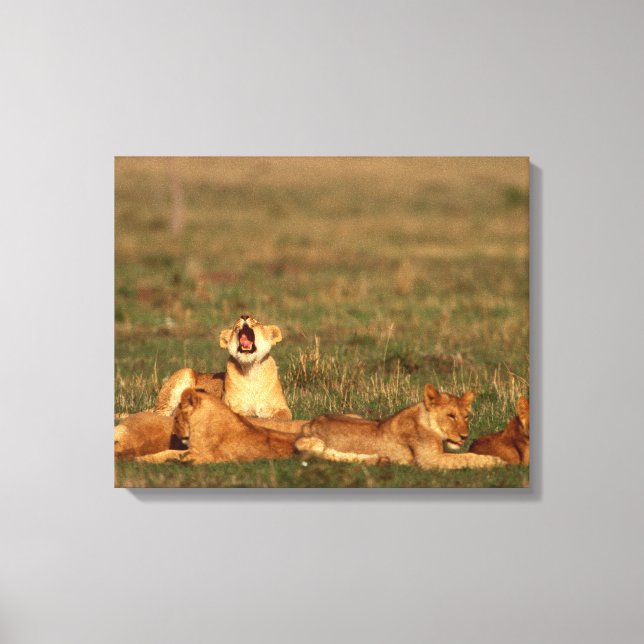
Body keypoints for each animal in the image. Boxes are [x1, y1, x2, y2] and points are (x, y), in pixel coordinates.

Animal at [153, 314, 292, 421]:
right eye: (235, 325)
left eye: (256, 322)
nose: (244, 316)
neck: (250, 369)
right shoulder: (231, 406)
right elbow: (242, 414)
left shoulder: (282, 407)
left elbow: (283, 416)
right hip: (185, 373)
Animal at [294, 384, 505, 470]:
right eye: (451, 416)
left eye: (466, 416)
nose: (465, 436)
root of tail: (309, 423)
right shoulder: (429, 460)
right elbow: (466, 457)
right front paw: (496, 461)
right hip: (312, 443)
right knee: (327, 454)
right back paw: (379, 460)